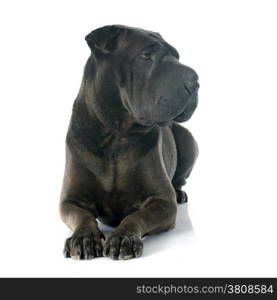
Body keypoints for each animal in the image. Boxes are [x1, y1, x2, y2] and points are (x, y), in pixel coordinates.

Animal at [60, 25, 198, 260]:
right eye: (146, 55)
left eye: (176, 56)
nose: (195, 81)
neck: (115, 136)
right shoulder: (70, 200)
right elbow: (82, 217)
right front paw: (85, 238)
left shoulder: (162, 201)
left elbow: (136, 217)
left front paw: (124, 238)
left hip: (189, 141)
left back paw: (179, 192)